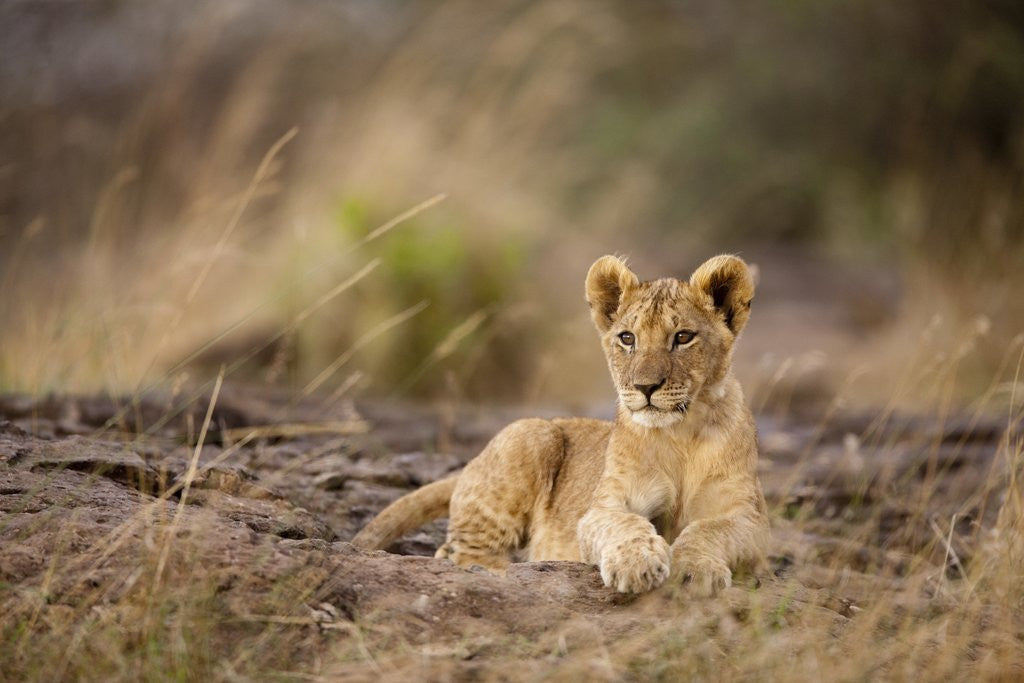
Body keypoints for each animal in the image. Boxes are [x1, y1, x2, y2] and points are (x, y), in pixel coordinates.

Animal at [353, 254, 769, 595]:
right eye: (627, 338)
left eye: (682, 337)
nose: (645, 387)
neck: (681, 433)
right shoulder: (604, 506)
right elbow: (625, 525)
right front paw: (637, 564)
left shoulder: (751, 519)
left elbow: (709, 529)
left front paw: (696, 570)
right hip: (532, 433)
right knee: (456, 552)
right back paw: (505, 570)